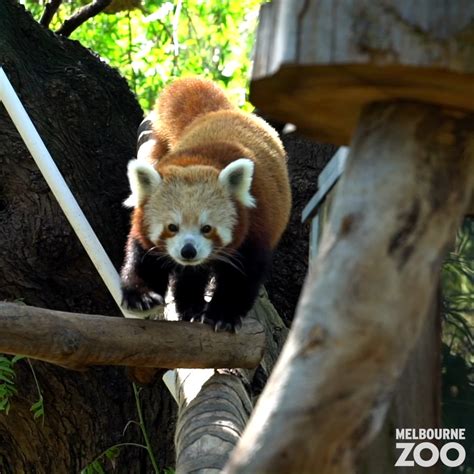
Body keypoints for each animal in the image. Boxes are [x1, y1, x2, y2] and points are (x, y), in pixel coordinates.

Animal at [120, 78, 290, 332]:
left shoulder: (256, 227)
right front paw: (141, 296)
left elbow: (241, 277)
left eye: (207, 228)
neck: (202, 159)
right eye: (171, 227)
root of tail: (220, 111)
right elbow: (144, 255)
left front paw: (223, 315)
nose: (188, 251)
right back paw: (190, 307)